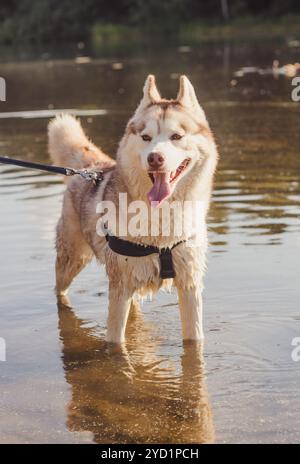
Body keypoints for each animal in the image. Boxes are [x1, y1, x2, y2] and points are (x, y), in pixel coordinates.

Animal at [48, 74, 218, 344]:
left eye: (176, 136)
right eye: (146, 137)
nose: (155, 158)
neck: (161, 220)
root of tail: (91, 168)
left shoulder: (190, 285)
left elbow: (194, 342)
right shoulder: (120, 288)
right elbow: (115, 342)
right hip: (72, 260)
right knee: (59, 290)